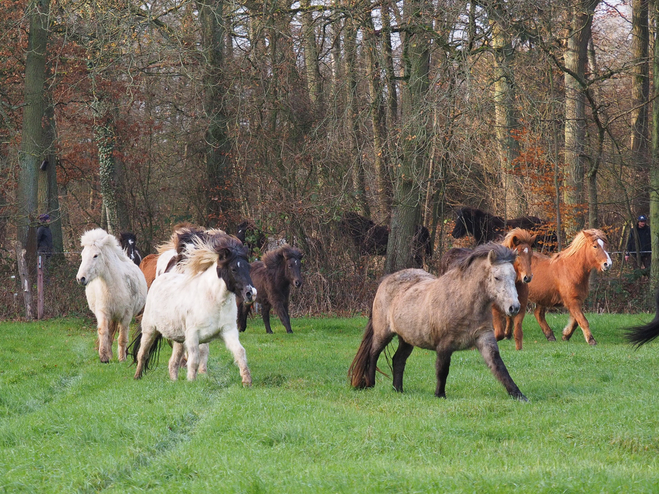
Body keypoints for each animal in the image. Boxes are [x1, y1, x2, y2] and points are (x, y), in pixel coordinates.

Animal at [76, 229, 148, 362]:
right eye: (82, 255)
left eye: (95, 255)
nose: (80, 278)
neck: (112, 286)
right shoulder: (103, 313)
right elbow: (104, 332)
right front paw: (104, 357)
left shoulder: (126, 316)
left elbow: (122, 338)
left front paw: (122, 359)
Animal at [130, 232, 256, 382]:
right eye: (233, 269)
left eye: (248, 267)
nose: (251, 293)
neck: (213, 300)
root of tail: (160, 278)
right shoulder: (193, 335)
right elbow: (194, 359)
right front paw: (191, 381)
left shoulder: (228, 331)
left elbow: (239, 352)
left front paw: (247, 381)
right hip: (150, 330)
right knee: (142, 353)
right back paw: (137, 376)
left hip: (178, 338)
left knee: (173, 361)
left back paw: (174, 381)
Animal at [348, 243, 528, 402]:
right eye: (497, 277)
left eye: (514, 277)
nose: (514, 307)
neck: (463, 300)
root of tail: (386, 280)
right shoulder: (444, 345)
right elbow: (442, 369)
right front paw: (440, 394)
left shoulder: (484, 338)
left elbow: (499, 366)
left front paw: (518, 395)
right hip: (383, 333)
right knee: (373, 353)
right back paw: (370, 383)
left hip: (406, 339)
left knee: (398, 360)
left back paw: (398, 389)